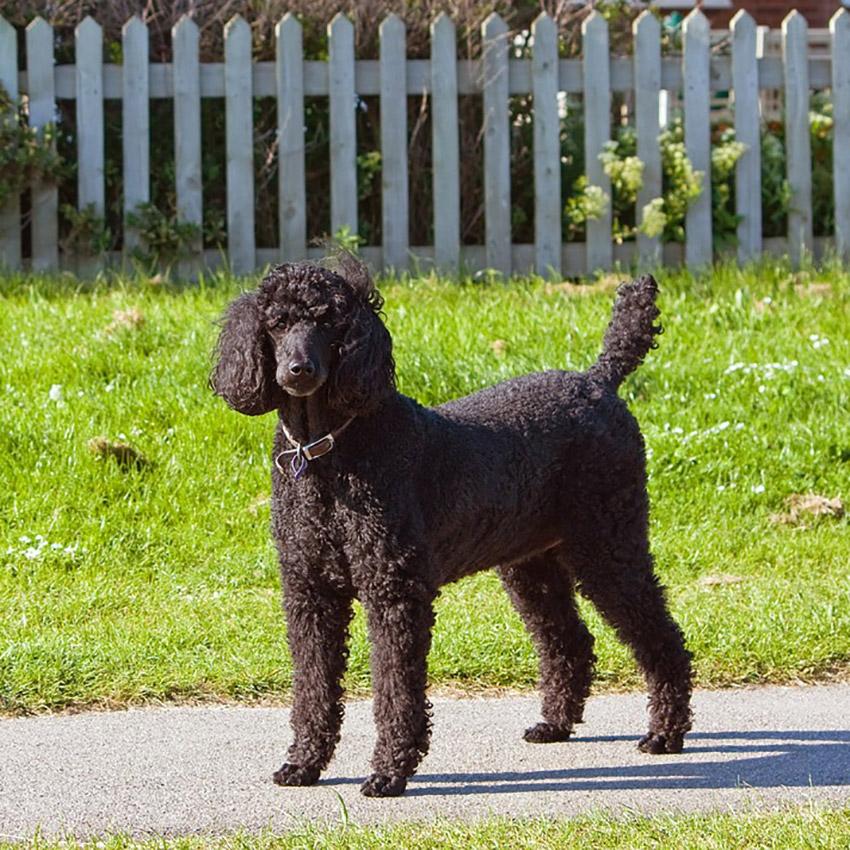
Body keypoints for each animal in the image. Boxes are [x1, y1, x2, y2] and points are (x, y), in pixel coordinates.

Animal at [210, 256, 688, 796]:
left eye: (330, 323)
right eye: (276, 323)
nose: (299, 370)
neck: (329, 454)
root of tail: (599, 380)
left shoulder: (394, 591)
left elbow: (396, 689)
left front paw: (390, 771)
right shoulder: (310, 592)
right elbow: (313, 688)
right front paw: (304, 763)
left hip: (609, 543)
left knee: (662, 638)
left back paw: (665, 733)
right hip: (532, 564)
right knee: (569, 641)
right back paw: (556, 724)